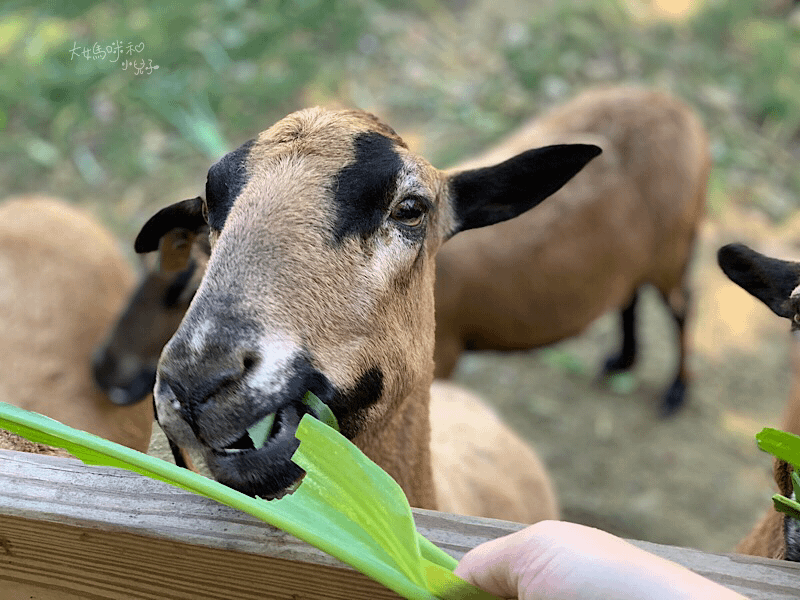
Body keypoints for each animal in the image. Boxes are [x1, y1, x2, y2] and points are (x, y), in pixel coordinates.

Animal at [434, 85, 708, 418]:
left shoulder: (442, 354)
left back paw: (677, 390)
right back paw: (622, 361)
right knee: (630, 294)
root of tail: (681, 110)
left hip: (672, 248)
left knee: (682, 307)